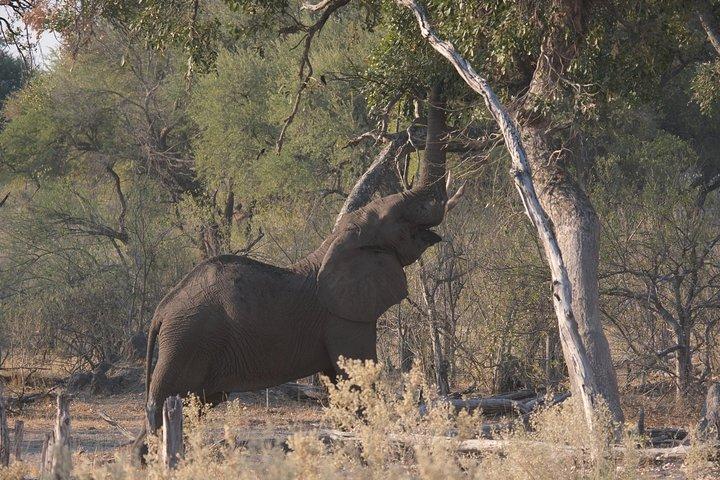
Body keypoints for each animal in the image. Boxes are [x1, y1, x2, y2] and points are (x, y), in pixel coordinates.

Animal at [134, 84, 460, 457]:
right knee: (165, 403)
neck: (335, 244)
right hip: (186, 342)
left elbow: (342, 386)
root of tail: (161, 310)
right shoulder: (345, 318)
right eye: (402, 221)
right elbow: (357, 380)